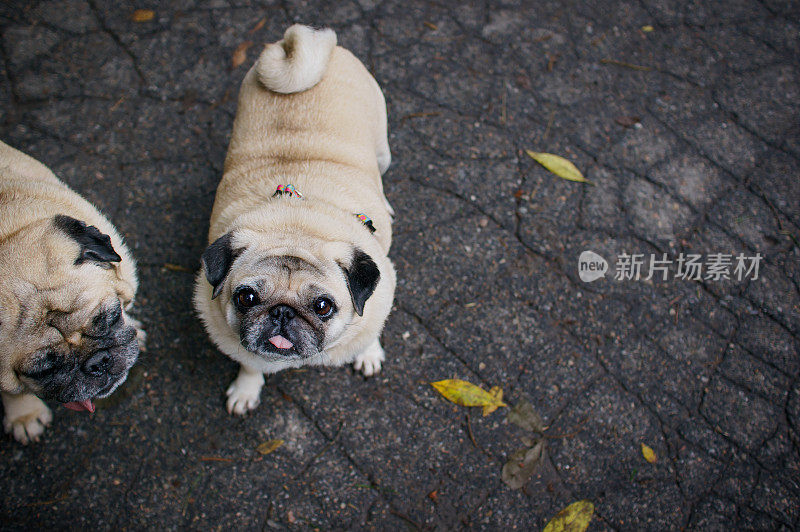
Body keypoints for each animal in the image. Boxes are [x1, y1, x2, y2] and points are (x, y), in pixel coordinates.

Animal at [194, 25, 394, 416]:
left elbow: (370, 331)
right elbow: (250, 362)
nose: (283, 313)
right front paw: (247, 388)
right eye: (246, 298)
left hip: (381, 147)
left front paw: (369, 352)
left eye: (323, 307)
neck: (296, 225)